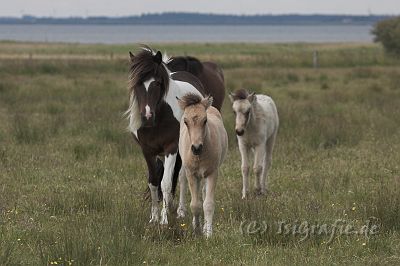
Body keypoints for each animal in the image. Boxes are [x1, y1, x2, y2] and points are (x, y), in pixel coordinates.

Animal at [125, 47, 225, 224]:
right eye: (137, 83)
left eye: (157, 83)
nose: (147, 116)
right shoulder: (147, 150)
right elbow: (153, 181)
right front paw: (154, 217)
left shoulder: (171, 148)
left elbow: (166, 182)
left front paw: (164, 220)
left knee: (181, 177)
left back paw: (179, 210)